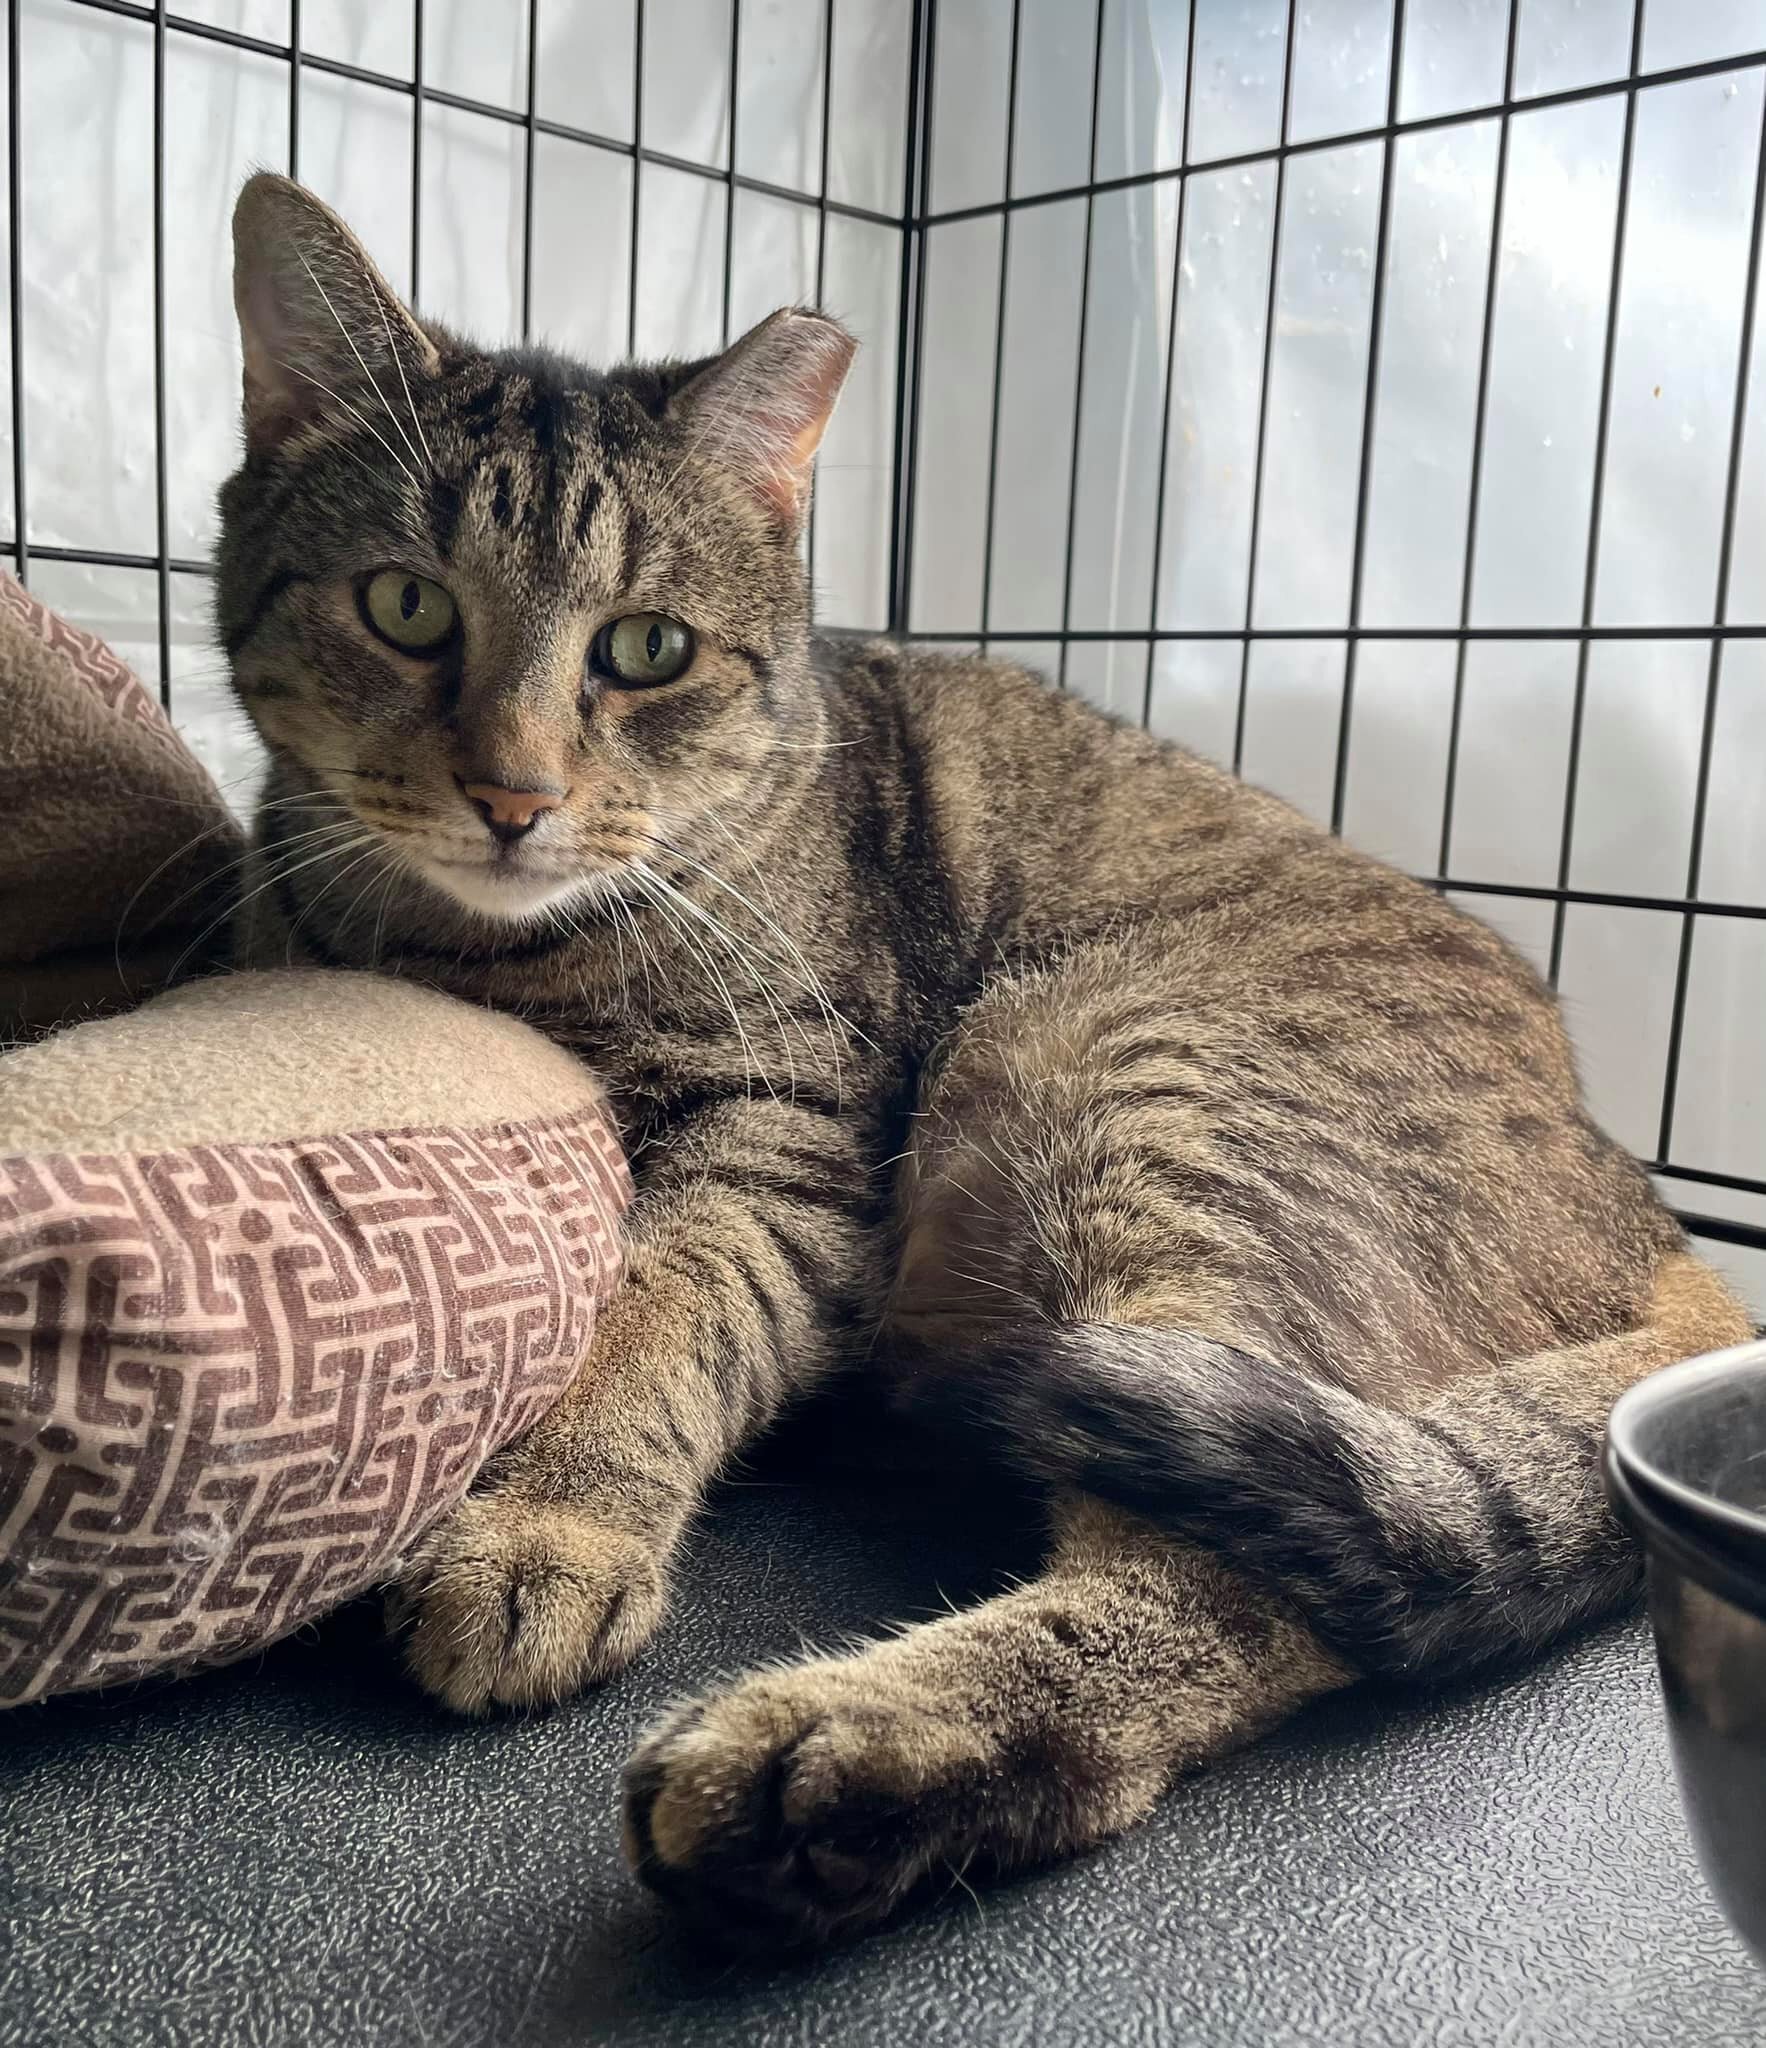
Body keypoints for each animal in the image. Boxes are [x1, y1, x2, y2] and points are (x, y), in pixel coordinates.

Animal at [214, 172, 1745, 1933]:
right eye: (405, 606)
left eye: (645, 649)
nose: (513, 796)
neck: (490, 952)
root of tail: (1640, 1197)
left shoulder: (787, 1137)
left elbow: (660, 1311)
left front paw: (545, 1523)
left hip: (1119, 1080)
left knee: (1230, 1596)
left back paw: (833, 1768)